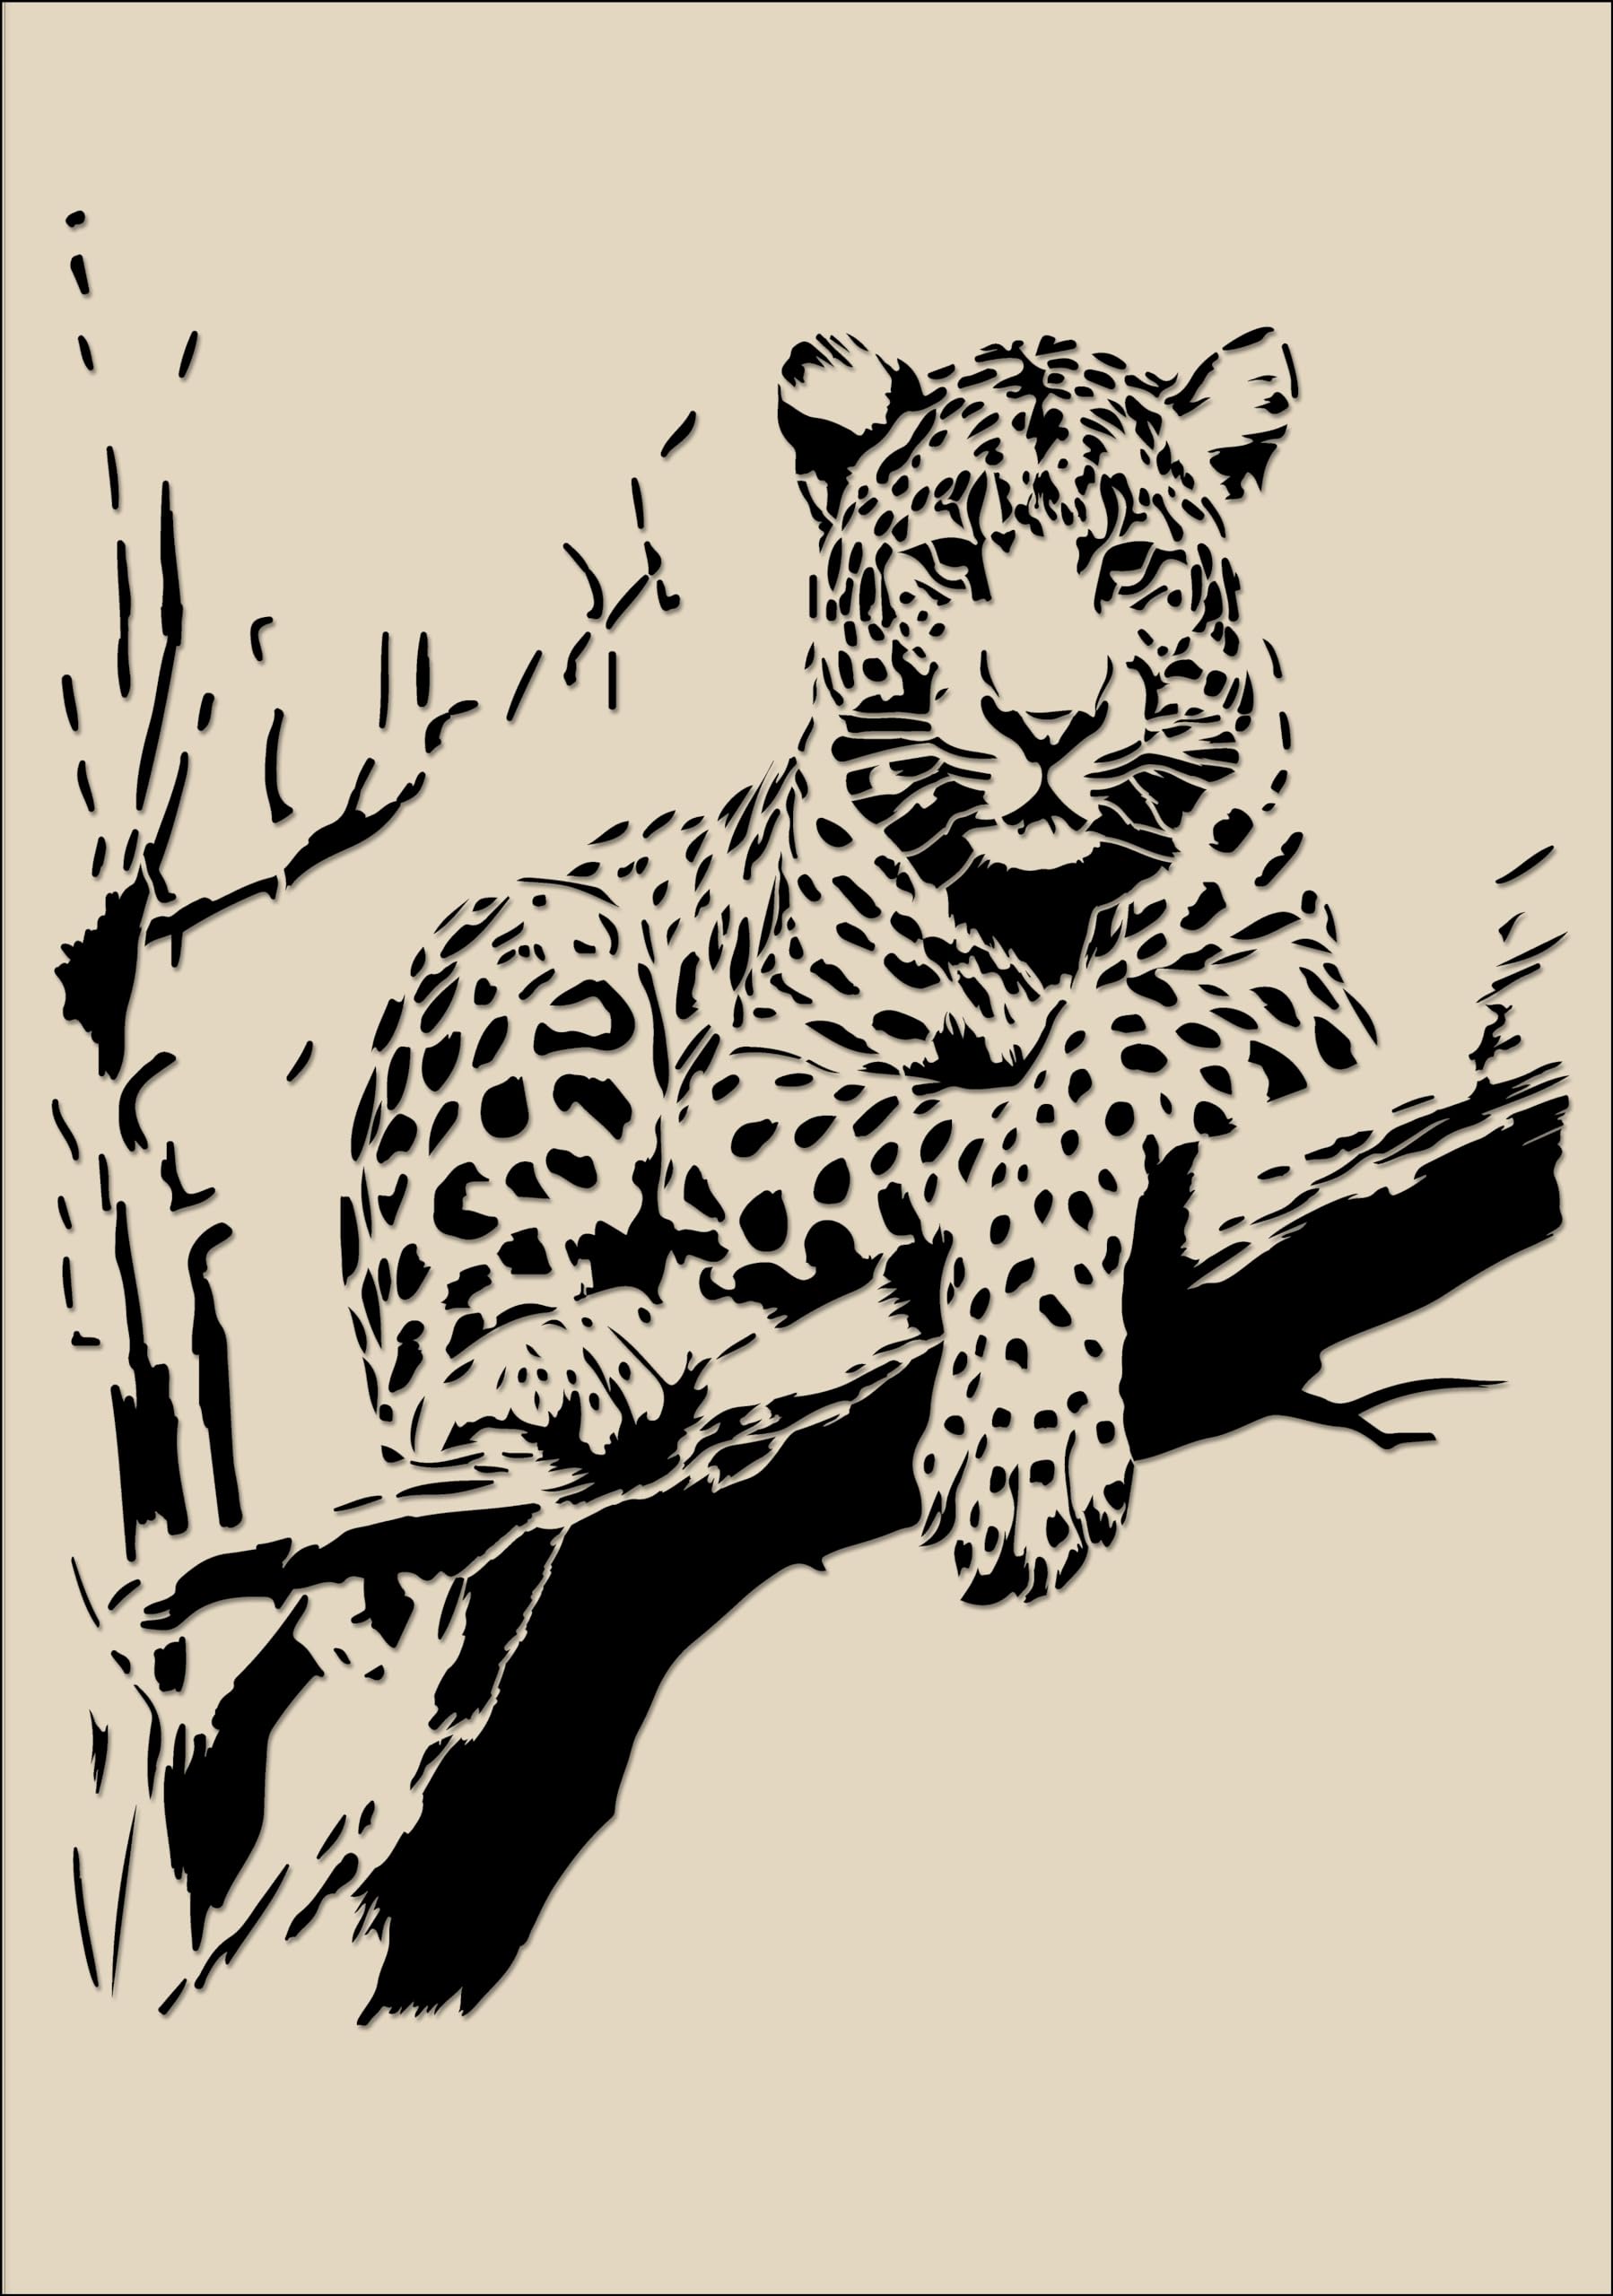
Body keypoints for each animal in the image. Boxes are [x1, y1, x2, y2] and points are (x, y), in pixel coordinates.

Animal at [342, 327, 1379, 1605]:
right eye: (952, 559)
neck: (1040, 910)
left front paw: (1019, 1436)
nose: (1045, 725)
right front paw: (1018, 1439)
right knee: (423, 1379)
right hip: (536, 938)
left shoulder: (1286, 974)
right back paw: (568, 1346)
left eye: (1127, 563)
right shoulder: (752, 1077)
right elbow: (980, 1131)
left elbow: (1086, 1069)